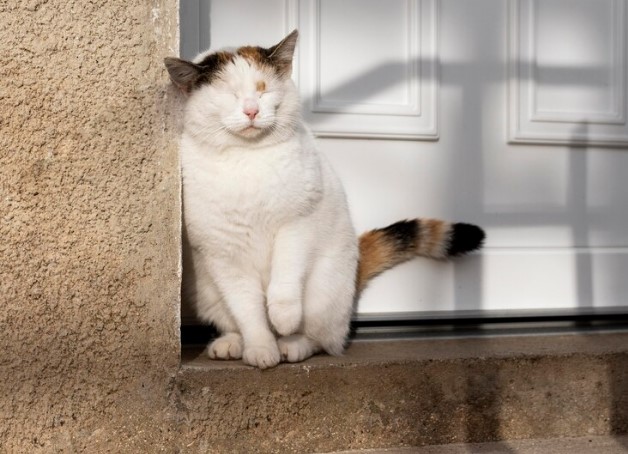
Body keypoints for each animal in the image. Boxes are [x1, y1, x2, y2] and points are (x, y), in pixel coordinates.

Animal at [163, 29, 486, 368]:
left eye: (263, 90)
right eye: (229, 94)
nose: (252, 110)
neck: (248, 160)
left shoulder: (297, 224)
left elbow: (285, 281)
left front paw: (283, 319)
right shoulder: (223, 252)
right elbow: (247, 309)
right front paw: (261, 348)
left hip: (324, 291)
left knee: (325, 339)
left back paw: (292, 344)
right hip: (208, 292)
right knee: (236, 320)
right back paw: (232, 344)